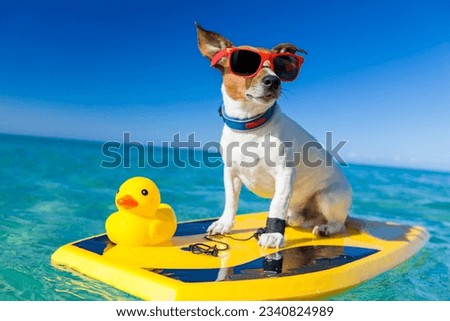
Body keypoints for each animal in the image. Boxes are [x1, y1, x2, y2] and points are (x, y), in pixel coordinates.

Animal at [196, 23, 352, 248]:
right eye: (246, 63)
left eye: (280, 68)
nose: (274, 80)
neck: (250, 127)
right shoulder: (230, 173)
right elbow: (231, 201)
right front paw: (224, 224)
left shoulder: (285, 173)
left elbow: (276, 205)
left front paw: (273, 234)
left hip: (328, 197)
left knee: (338, 223)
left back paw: (325, 229)